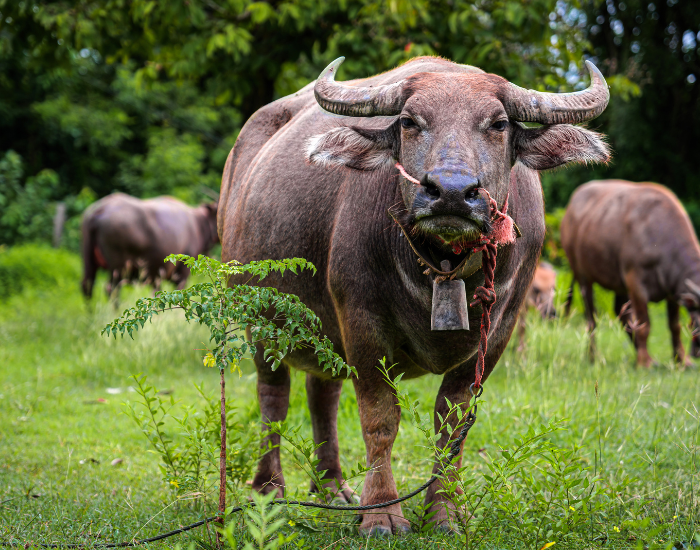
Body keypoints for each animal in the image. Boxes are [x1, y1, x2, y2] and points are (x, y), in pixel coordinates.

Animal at [81, 193, 218, 300]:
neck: (199, 224)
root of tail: (100, 210)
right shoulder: (182, 272)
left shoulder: (155, 276)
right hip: (119, 268)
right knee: (112, 290)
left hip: (89, 261)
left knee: (87, 287)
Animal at [219, 56, 610, 534]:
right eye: (409, 122)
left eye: (499, 124)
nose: (452, 192)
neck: (444, 270)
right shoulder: (362, 324)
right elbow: (380, 419)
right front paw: (382, 512)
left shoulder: (498, 334)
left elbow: (453, 426)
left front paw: (444, 512)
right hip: (258, 318)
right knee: (273, 396)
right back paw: (271, 490)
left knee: (322, 394)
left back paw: (333, 488)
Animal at [562, 180, 700, 367]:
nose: (696, 353)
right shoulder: (636, 283)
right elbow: (644, 324)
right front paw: (644, 362)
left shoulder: (672, 290)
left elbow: (675, 326)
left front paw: (682, 360)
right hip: (582, 276)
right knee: (591, 320)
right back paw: (593, 357)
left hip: (619, 284)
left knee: (622, 314)